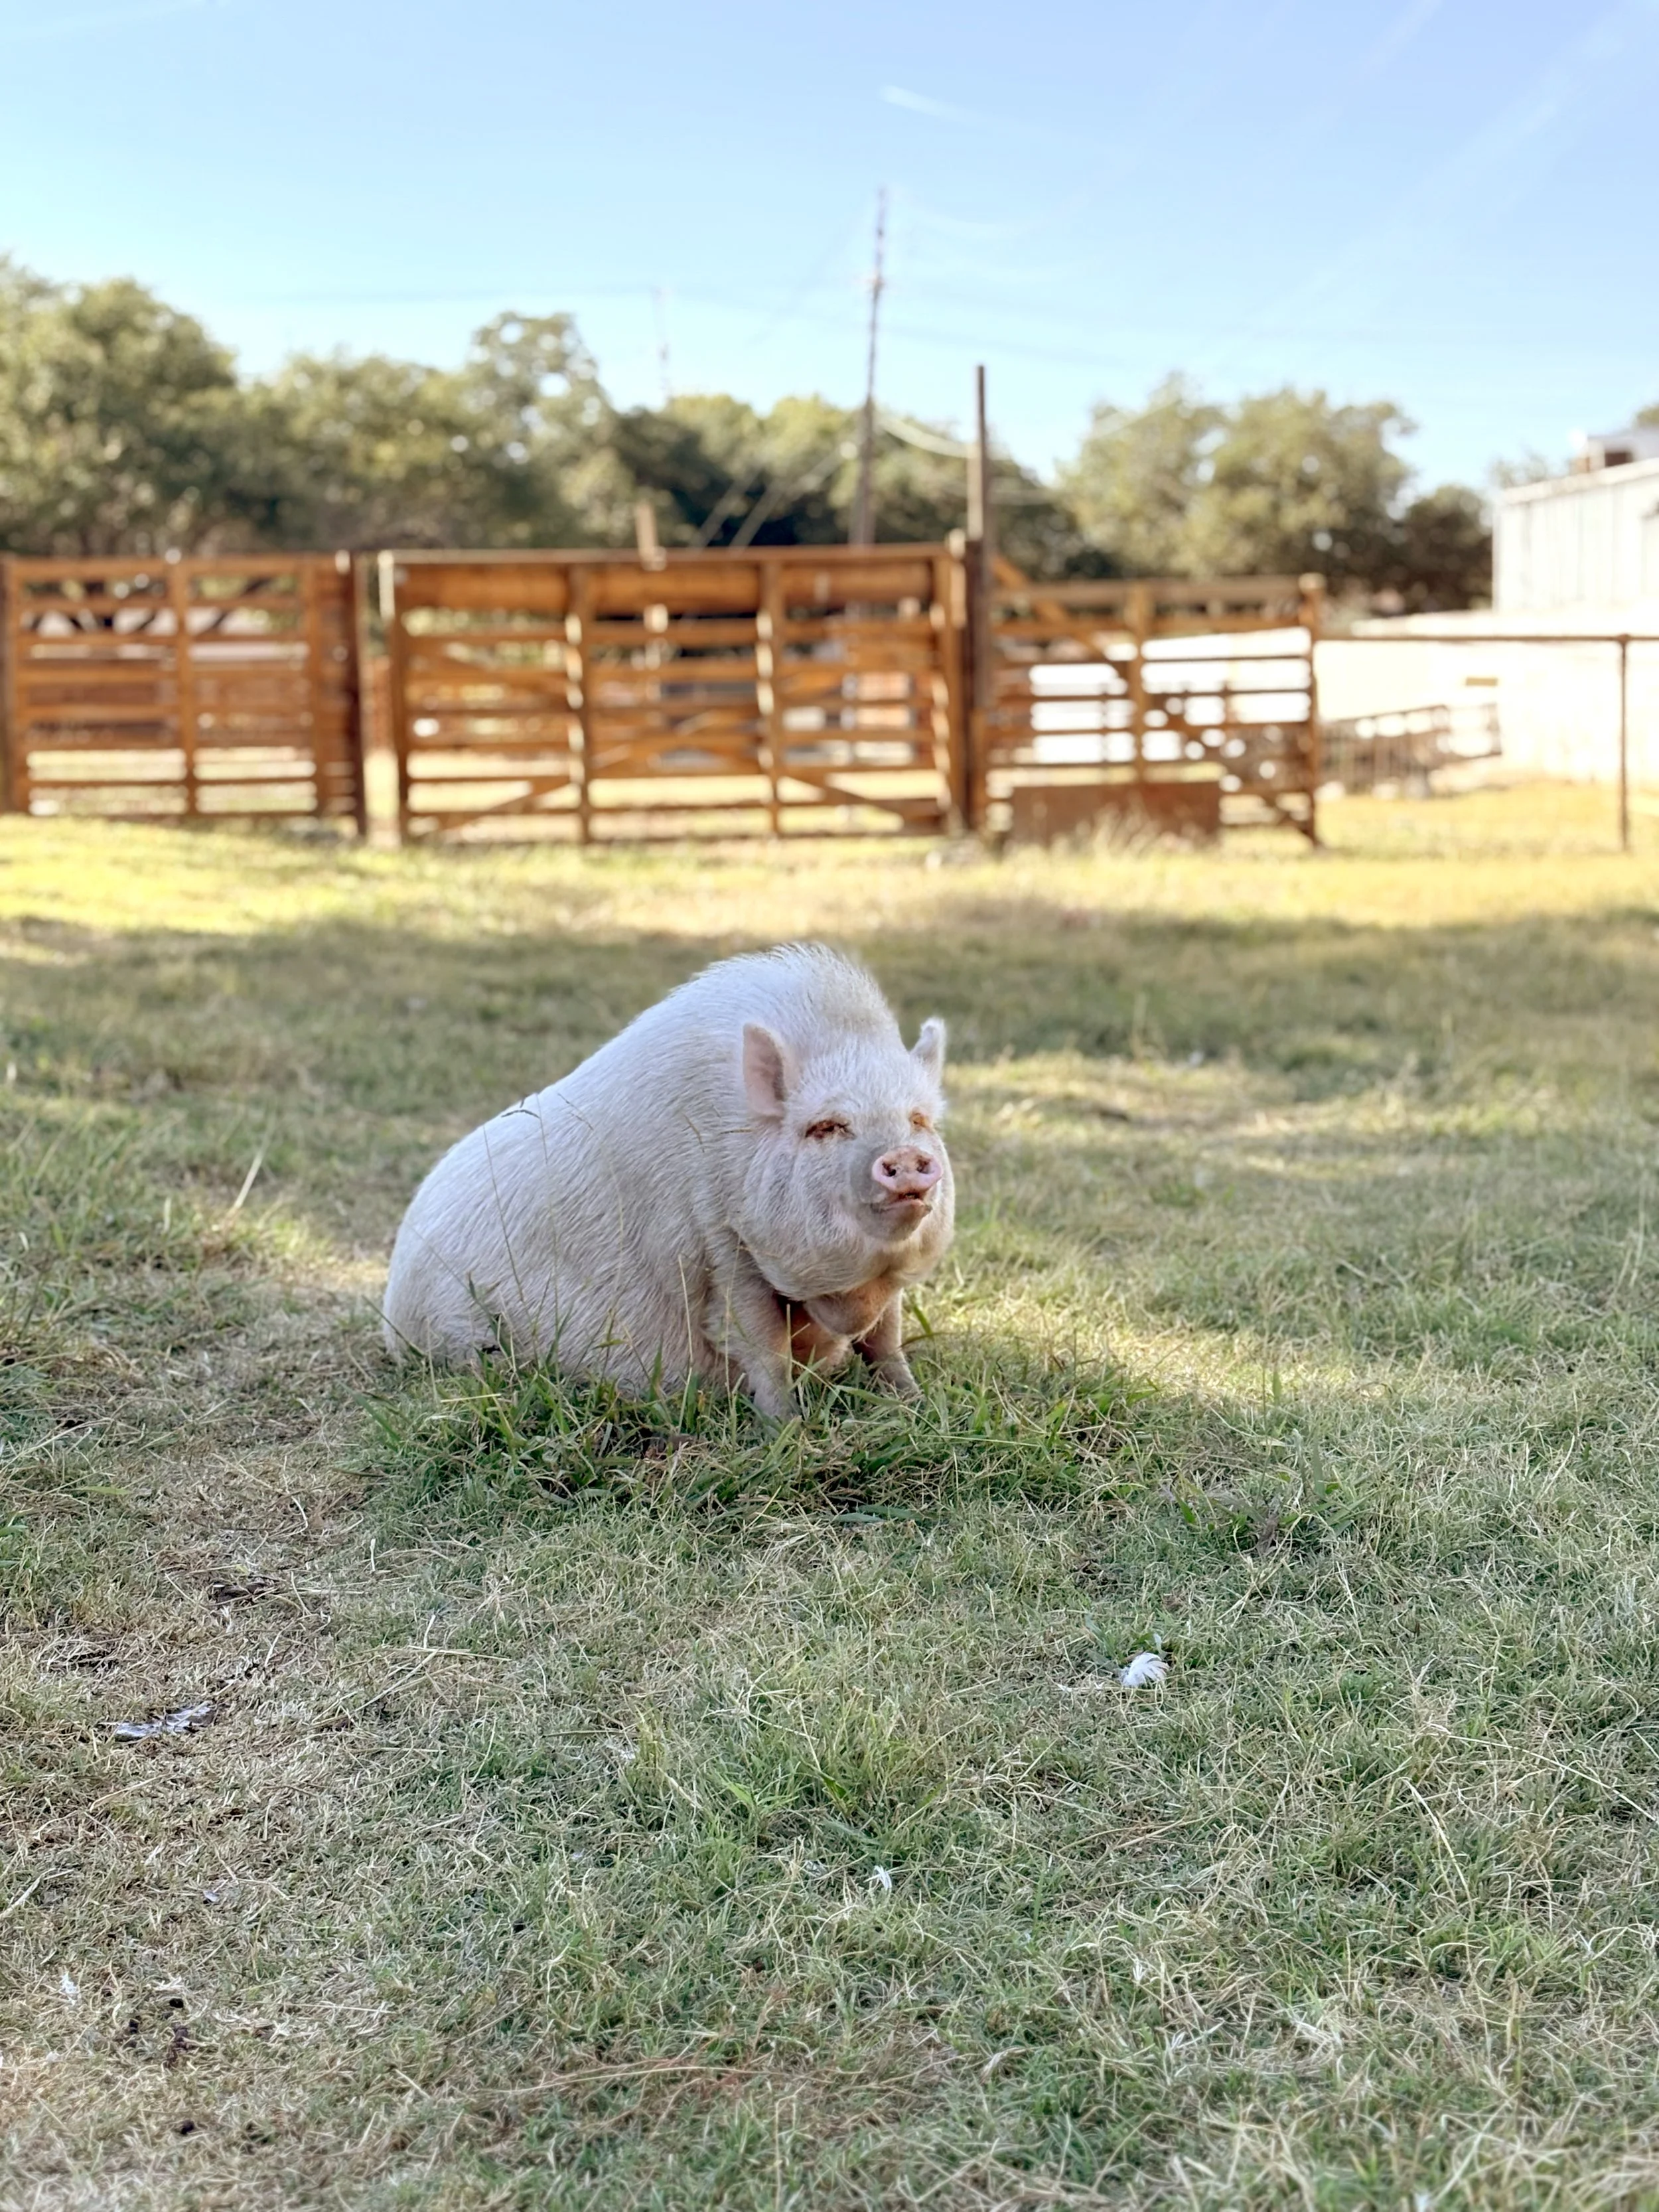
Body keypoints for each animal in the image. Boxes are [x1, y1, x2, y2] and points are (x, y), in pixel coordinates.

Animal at [381, 944, 953, 1418]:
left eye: (919, 1120)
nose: (905, 1156)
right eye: (827, 1126)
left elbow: (885, 1339)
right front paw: (787, 1430)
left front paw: (918, 1407)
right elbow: (761, 1343)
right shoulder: (723, 1242)